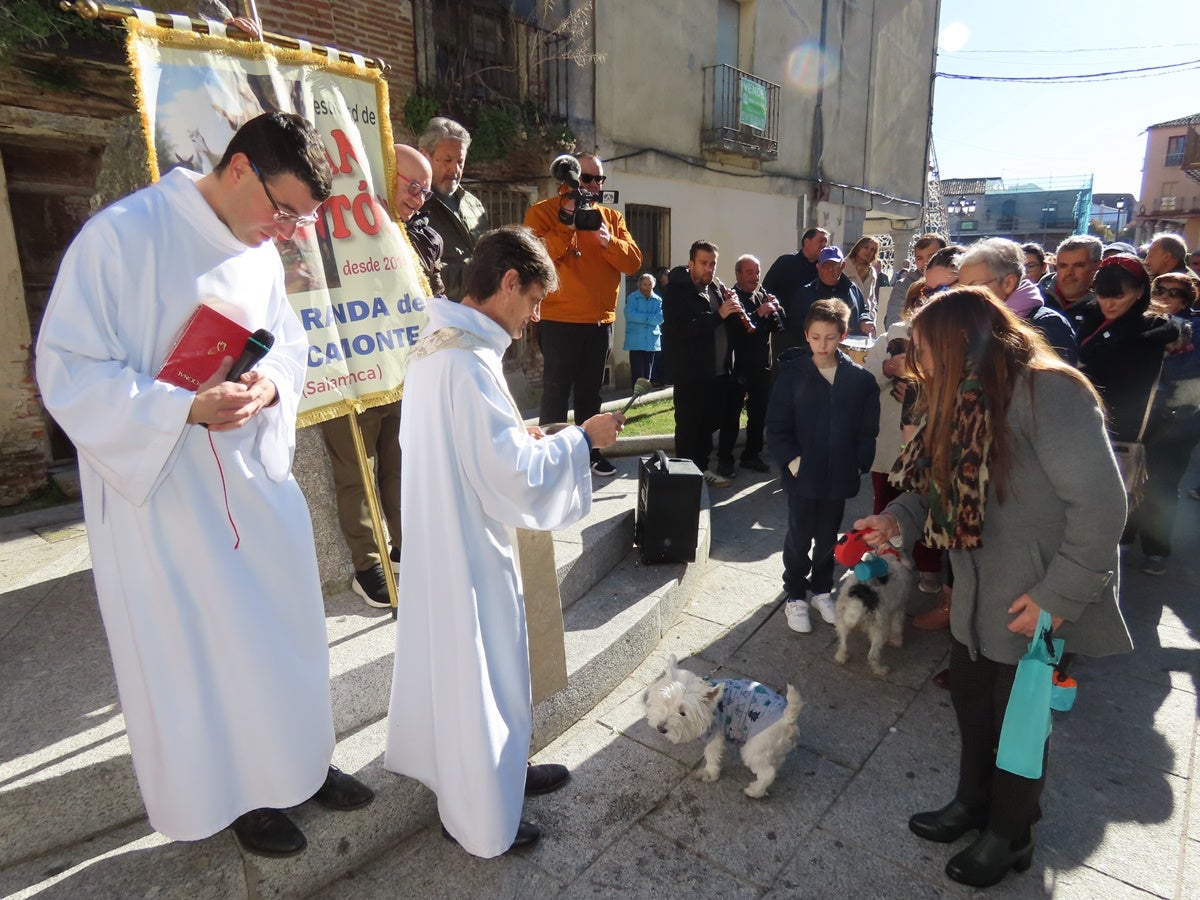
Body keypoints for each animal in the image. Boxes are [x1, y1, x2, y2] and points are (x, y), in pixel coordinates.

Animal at [643, 657, 801, 801]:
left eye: (682, 713)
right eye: (665, 702)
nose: (661, 728)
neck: (710, 710)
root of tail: (787, 716)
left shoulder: (715, 735)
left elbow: (711, 756)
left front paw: (709, 774)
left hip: (754, 748)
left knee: (768, 773)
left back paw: (754, 791)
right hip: (771, 748)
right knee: (775, 763)